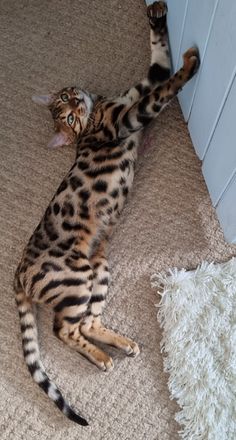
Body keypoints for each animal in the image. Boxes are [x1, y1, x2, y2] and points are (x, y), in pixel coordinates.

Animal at [13, 0, 200, 426]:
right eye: (66, 117)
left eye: (67, 98)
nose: (76, 102)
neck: (99, 108)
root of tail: (19, 271)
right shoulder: (128, 117)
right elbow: (167, 87)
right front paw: (190, 65)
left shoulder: (140, 86)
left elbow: (158, 58)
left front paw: (157, 13)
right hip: (75, 280)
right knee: (63, 330)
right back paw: (101, 358)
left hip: (98, 270)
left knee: (88, 322)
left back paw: (120, 344)